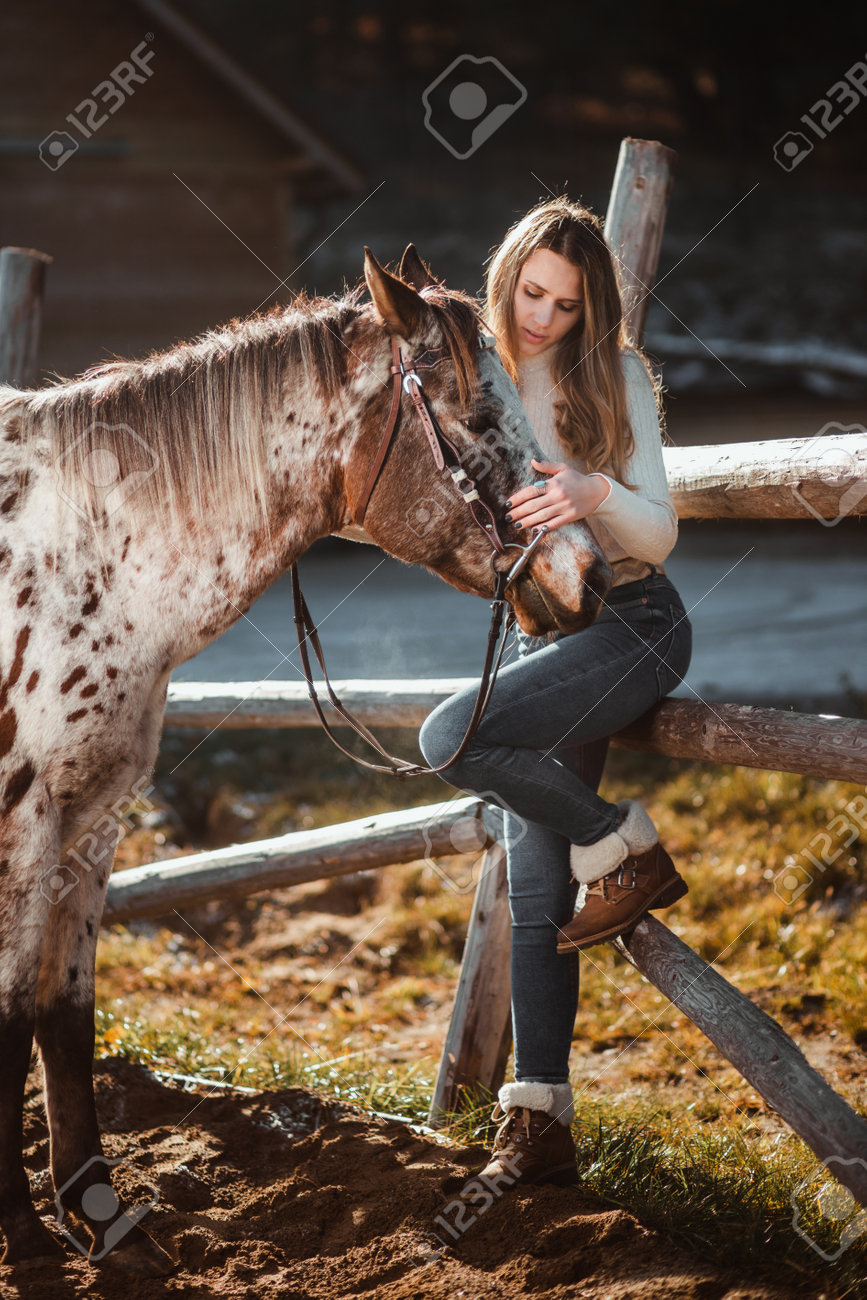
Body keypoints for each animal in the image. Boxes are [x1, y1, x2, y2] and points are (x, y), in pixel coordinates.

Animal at [0, 241, 610, 1268]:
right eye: (480, 419)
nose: (587, 579)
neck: (78, 561)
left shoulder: (94, 820)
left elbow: (63, 1017)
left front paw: (101, 1219)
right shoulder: (25, 822)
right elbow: (10, 1016)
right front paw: (23, 1239)